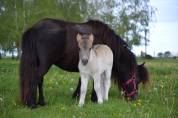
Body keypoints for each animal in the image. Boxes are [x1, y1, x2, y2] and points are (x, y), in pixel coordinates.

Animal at [19, 18, 149, 108]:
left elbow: (81, 82)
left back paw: (41, 102)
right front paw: (94, 98)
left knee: (39, 80)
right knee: (35, 79)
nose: (134, 98)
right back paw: (32, 104)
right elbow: (93, 84)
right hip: (45, 64)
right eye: (136, 80)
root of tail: (34, 28)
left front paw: (77, 97)